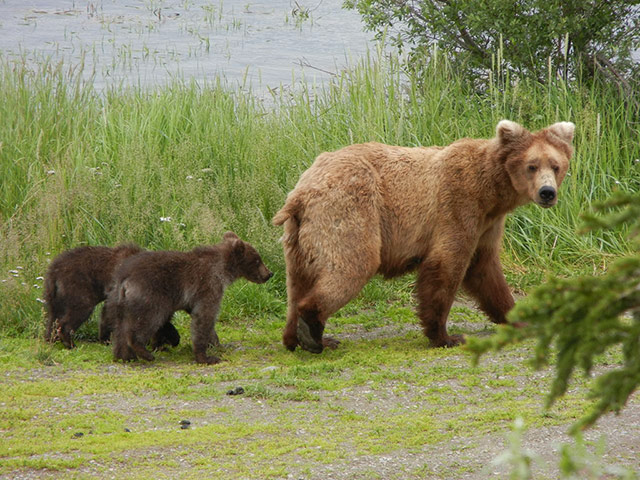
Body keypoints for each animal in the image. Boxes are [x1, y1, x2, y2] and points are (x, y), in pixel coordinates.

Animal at [43, 244, 180, 349]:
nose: (160, 345)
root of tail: (54, 269)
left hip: (54, 294)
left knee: (53, 316)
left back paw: (51, 338)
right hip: (77, 286)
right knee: (78, 310)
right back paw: (70, 343)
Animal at [108, 231, 273, 364]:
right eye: (257, 260)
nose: (269, 274)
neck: (223, 270)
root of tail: (125, 276)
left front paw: (218, 344)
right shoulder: (208, 286)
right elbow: (204, 317)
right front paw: (206, 357)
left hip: (120, 300)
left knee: (121, 326)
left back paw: (124, 356)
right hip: (150, 295)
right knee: (147, 320)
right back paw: (144, 352)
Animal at [272, 120, 575, 353]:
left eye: (556, 165)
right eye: (532, 166)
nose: (547, 193)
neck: (492, 192)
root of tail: (302, 192)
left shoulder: (488, 224)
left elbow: (485, 270)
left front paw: (518, 318)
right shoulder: (458, 205)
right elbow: (447, 265)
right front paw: (446, 336)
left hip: (299, 235)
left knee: (297, 281)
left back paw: (297, 337)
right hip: (350, 211)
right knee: (352, 264)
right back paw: (313, 333)